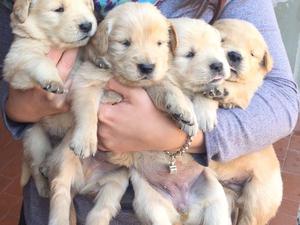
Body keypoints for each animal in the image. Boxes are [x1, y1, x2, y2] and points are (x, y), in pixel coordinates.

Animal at [3, 0, 97, 197]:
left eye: (86, 4)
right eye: (59, 9)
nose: (87, 25)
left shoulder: (84, 81)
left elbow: (88, 109)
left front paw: (86, 140)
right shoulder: (16, 64)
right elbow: (41, 60)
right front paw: (53, 81)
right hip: (35, 139)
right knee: (35, 167)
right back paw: (44, 187)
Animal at [205, 19, 282, 225]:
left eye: (252, 53)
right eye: (221, 39)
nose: (234, 55)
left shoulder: (247, 91)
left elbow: (238, 89)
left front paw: (222, 91)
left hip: (258, 195)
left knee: (250, 218)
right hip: (227, 193)